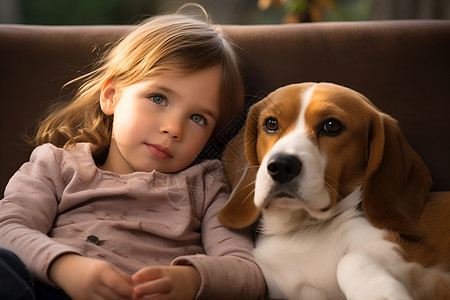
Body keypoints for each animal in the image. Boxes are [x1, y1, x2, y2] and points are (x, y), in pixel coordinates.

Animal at [220, 82, 450, 300]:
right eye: (271, 124)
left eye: (332, 126)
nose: (282, 166)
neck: (303, 231)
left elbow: (351, 259)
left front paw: (378, 293)